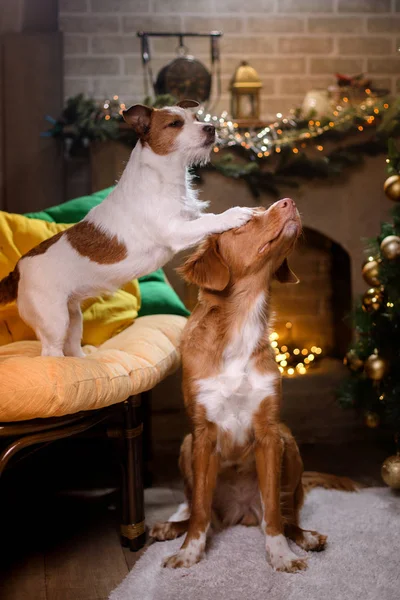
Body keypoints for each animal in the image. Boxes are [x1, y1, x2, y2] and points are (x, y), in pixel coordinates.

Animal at [0, 99, 253, 356]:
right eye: (175, 124)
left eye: (197, 117)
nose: (211, 128)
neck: (161, 177)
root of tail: (18, 269)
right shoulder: (176, 230)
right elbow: (210, 220)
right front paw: (235, 214)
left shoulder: (190, 218)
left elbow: (205, 221)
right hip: (54, 320)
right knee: (52, 353)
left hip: (73, 316)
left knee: (72, 346)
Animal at [151, 200, 356, 572]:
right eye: (244, 220)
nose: (289, 201)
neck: (242, 322)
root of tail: (240, 513)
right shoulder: (202, 433)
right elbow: (199, 508)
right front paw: (190, 552)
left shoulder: (269, 432)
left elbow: (274, 510)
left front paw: (281, 554)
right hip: (186, 445)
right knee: (198, 511)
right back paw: (170, 527)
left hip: (288, 440)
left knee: (287, 514)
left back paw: (305, 536)